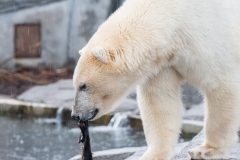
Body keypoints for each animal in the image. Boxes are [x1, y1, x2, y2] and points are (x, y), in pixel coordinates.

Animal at [71, 0, 240, 159]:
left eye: (83, 85)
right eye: (76, 85)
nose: (75, 115)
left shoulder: (210, 35)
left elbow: (220, 85)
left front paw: (206, 151)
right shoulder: (161, 64)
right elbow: (160, 100)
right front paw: (154, 154)